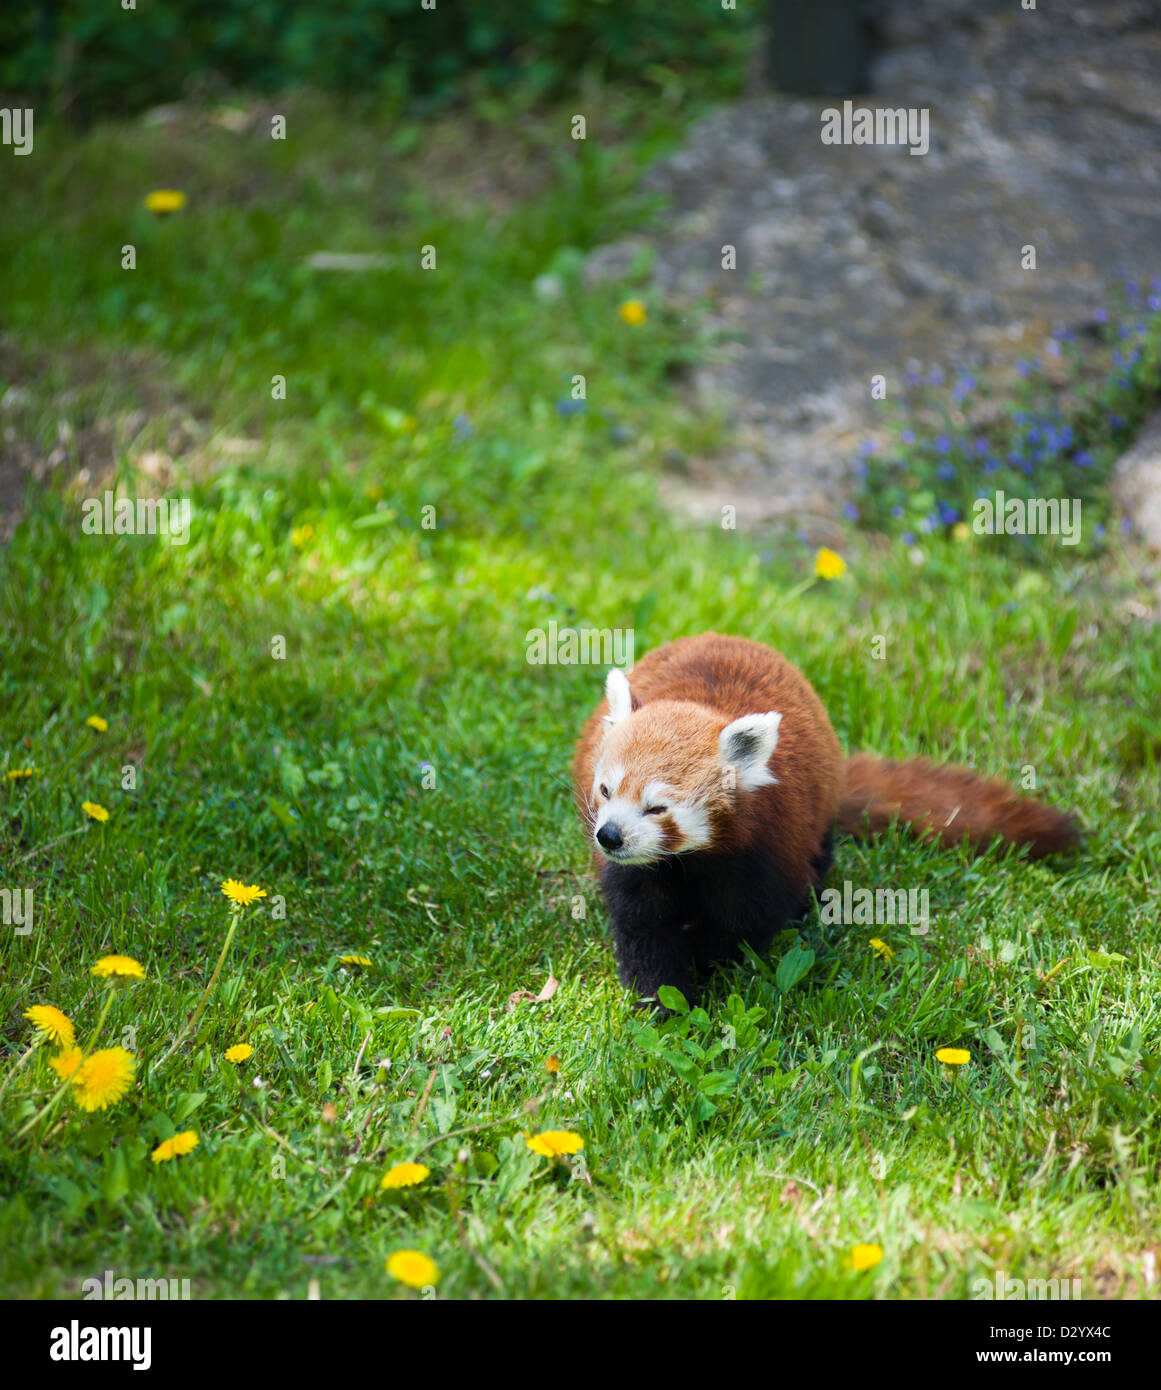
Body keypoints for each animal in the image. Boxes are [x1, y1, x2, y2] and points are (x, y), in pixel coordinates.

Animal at [572, 636, 1078, 1006]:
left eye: (657, 807)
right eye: (606, 791)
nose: (610, 836)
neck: (692, 861)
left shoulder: (766, 849)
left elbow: (746, 922)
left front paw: (706, 964)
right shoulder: (640, 873)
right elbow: (642, 928)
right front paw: (661, 998)